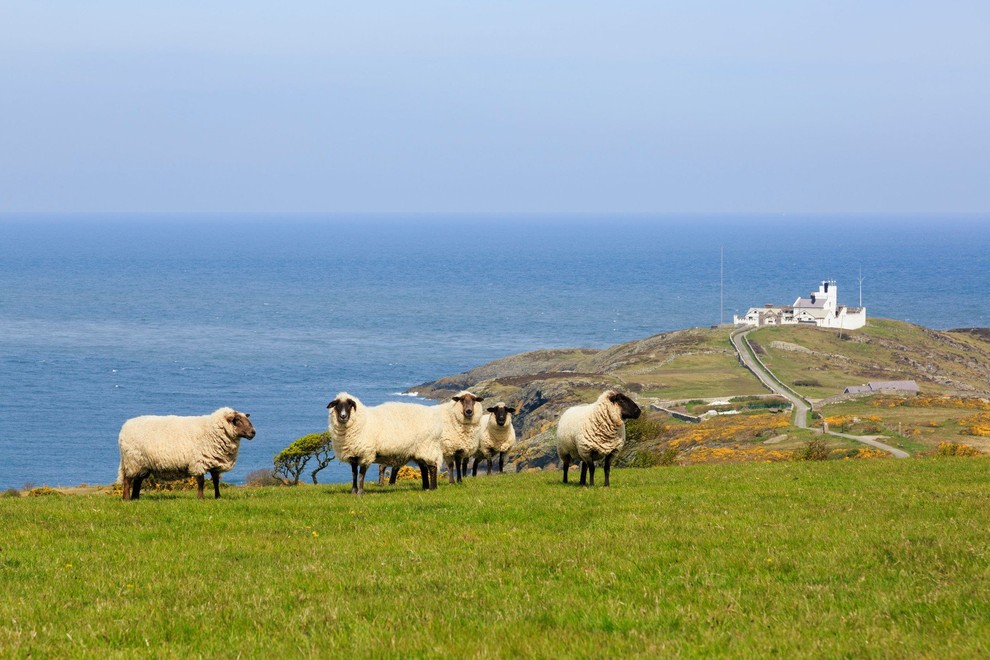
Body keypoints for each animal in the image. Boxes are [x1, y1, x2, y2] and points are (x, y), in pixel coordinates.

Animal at [116, 408, 258, 500]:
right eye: (237, 420)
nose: (253, 432)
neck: (212, 430)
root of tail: (124, 427)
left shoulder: (215, 462)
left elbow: (216, 481)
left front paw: (218, 497)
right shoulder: (199, 461)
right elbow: (201, 481)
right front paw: (201, 498)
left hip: (142, 463)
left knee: (138, 480)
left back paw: (135, 498)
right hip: (132, 460)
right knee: (128, 480)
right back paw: (127, 499)